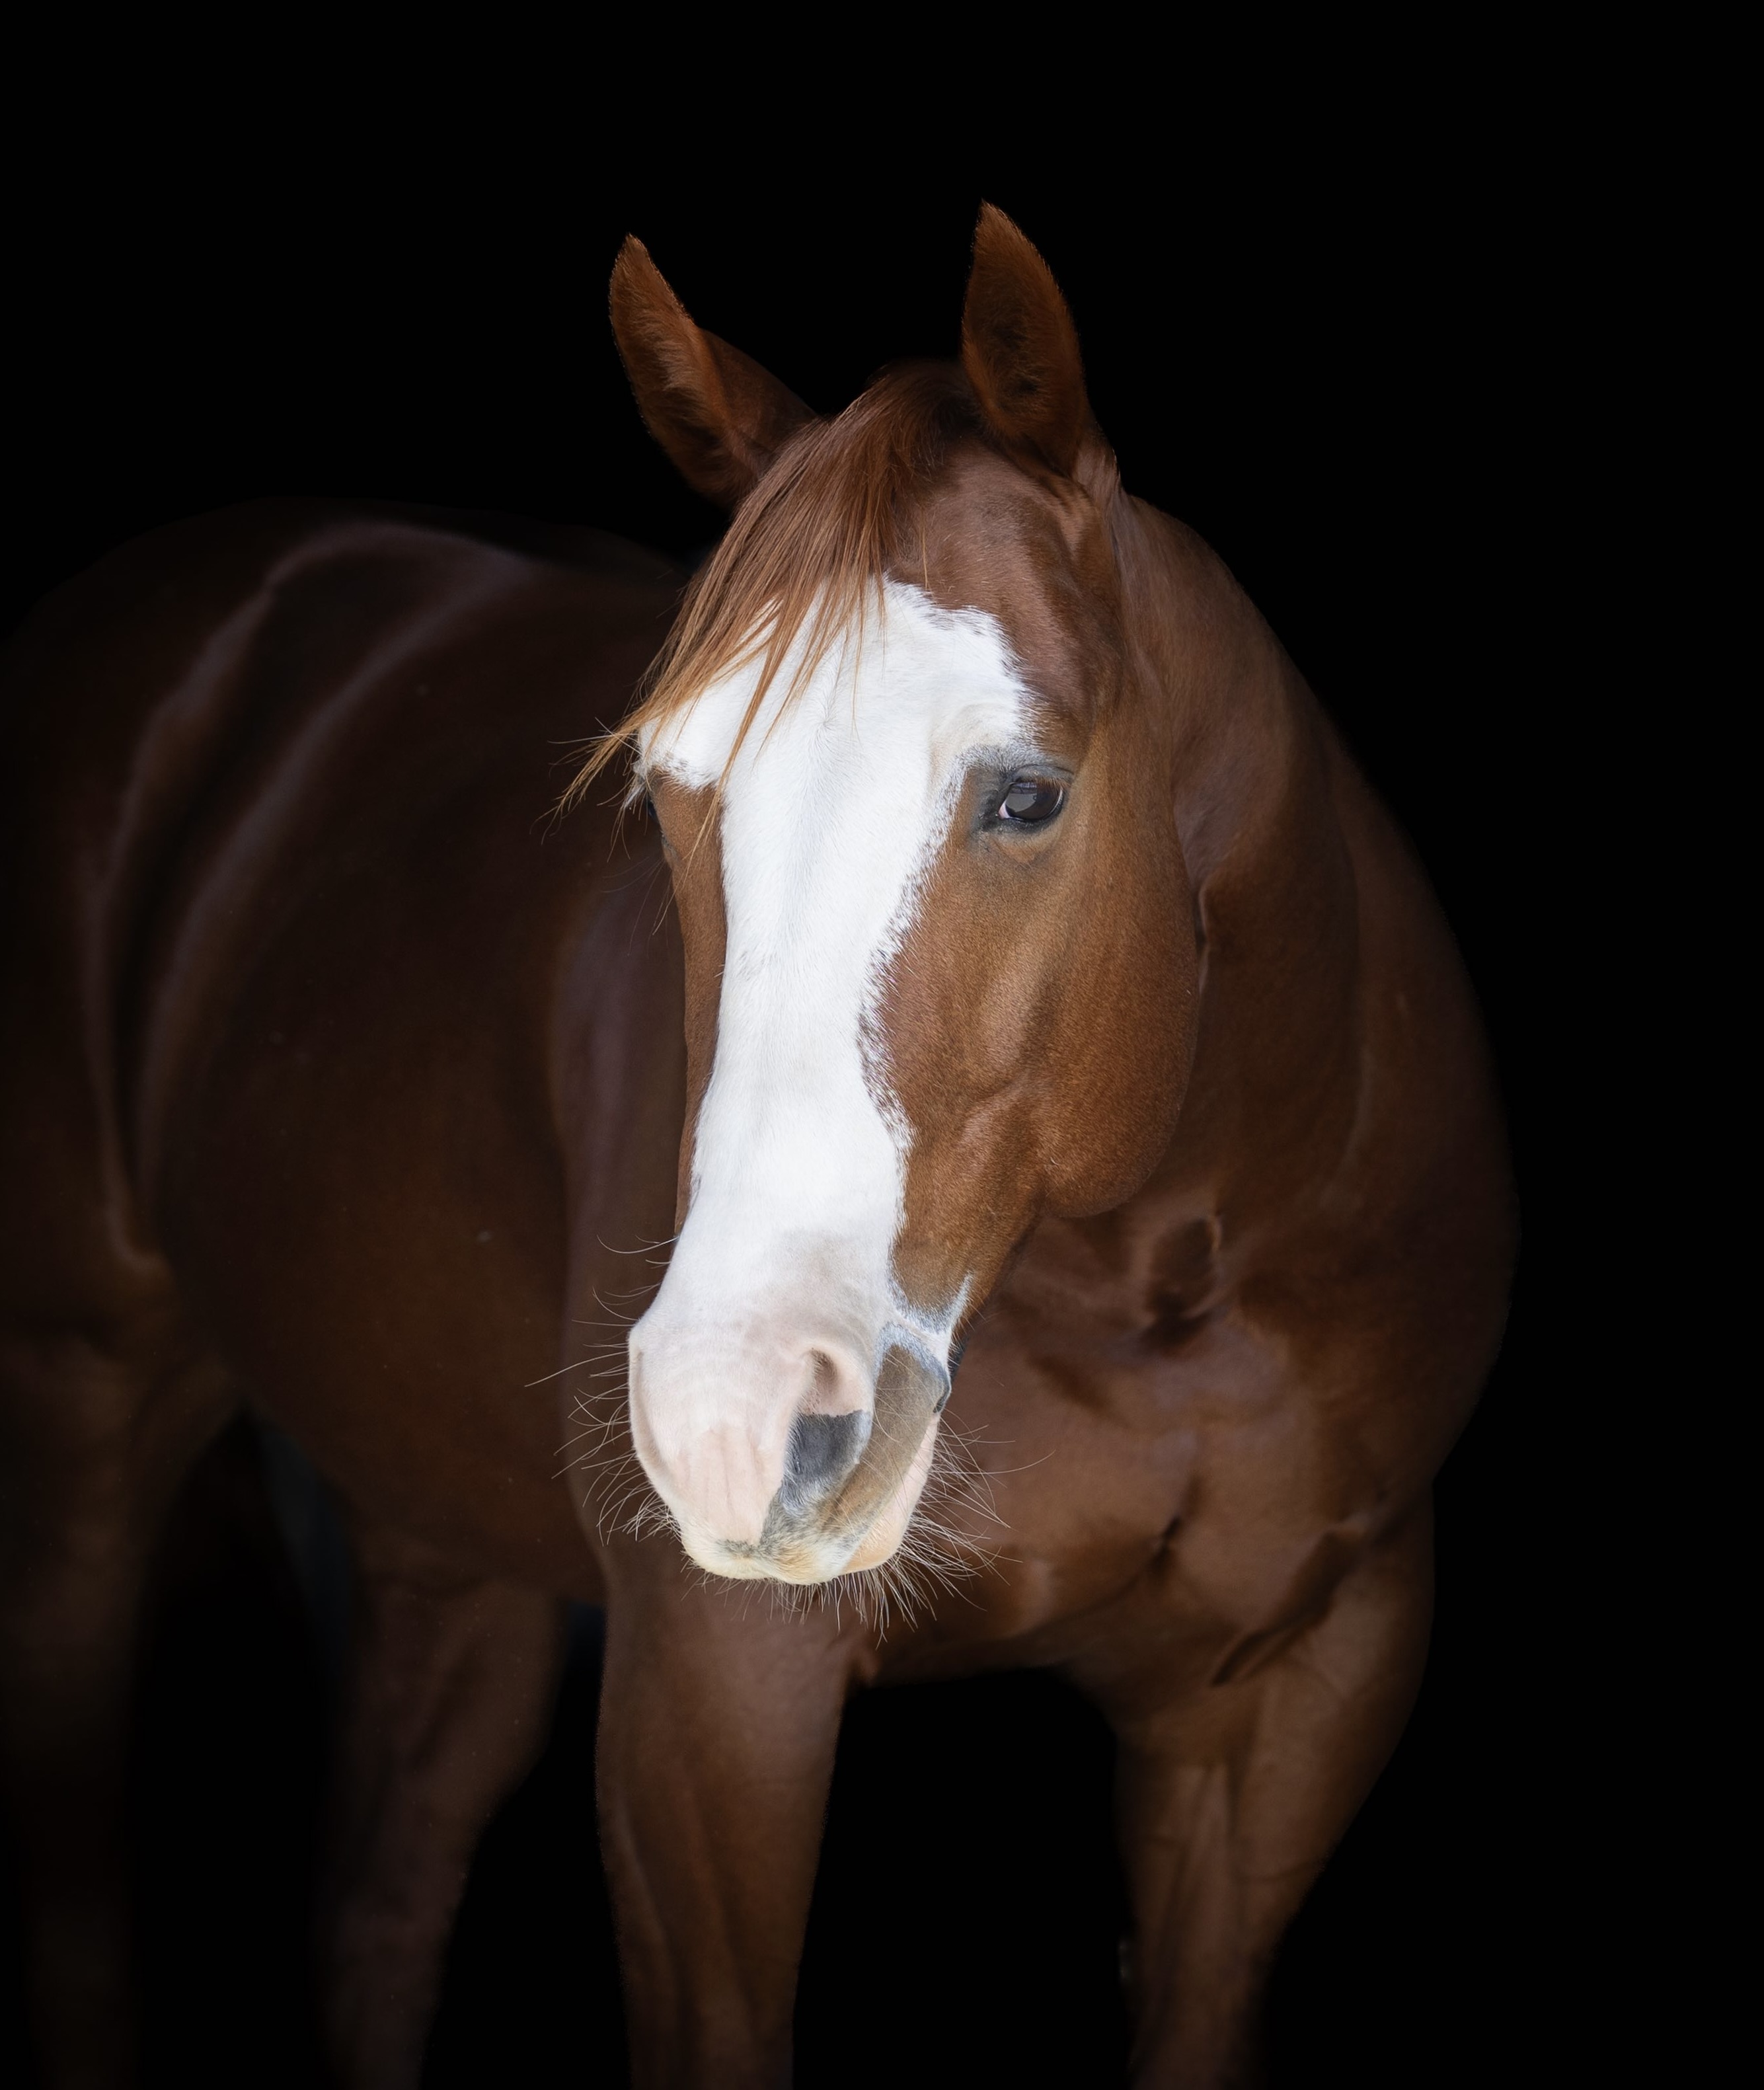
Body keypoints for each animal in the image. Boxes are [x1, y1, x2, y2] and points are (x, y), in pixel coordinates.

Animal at [0, 206, 1514, 2088]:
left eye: (1027, 794)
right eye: (667, 789)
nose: (731, 1419)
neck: (1156, 1277)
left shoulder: (1292, 1704)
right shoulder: (712, 1700)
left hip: (442, 1546)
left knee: (378, 1897)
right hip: (77, 1426)